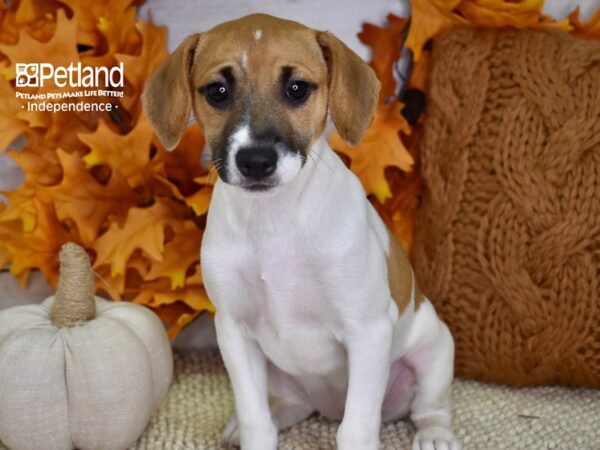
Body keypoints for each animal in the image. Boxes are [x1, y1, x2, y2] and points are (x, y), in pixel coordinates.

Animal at [144, 14, 460, 450]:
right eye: (218, 91)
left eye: (296, 88)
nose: (256, 161)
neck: (274, 221)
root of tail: (326, 407)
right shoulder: (234, 332)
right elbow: (256, 419)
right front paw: (251, 434)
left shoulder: (368, 331)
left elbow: (356, 428)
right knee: (285, 408)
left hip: (434, 351)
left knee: (430, 408)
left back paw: (435, 436)